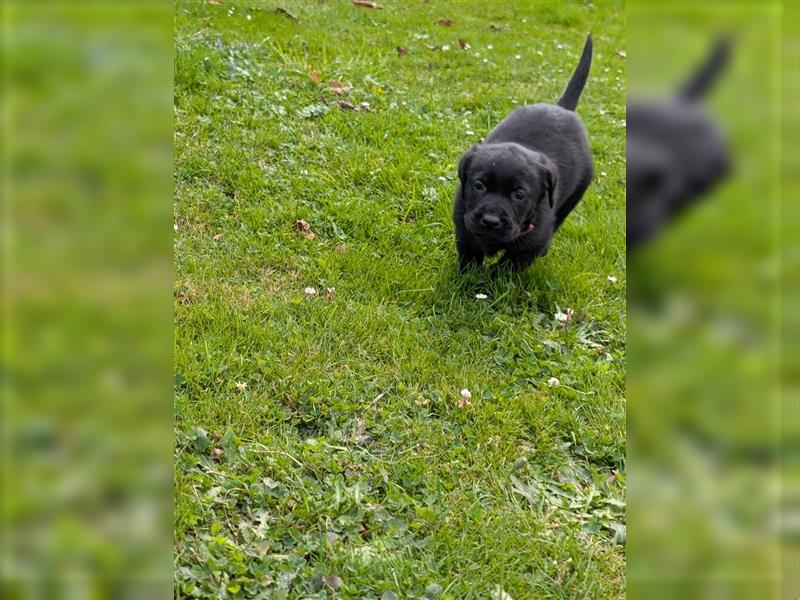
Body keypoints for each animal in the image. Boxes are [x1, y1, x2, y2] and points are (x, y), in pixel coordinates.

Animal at [450, 35, 592, 272]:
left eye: (519, 195)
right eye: (478, 185)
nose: (490, 220)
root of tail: (562, 108)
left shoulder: (529, 246)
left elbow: (506, 268)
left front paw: (490, 281)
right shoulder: (464, 225)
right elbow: (469, 257)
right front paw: (466, 279)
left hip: (575, 194)